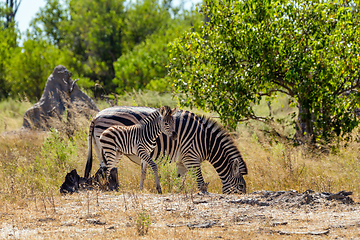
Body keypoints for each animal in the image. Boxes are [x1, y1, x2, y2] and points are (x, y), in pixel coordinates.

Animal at [84, 106, 248, 194]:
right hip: (111, 150)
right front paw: (202, 193)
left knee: (102, 171)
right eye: (241, 186)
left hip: (103, 150)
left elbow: (179, 181)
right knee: (105, 171)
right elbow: (200, 182)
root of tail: (96, 116)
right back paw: (108, 189)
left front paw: (178, 192)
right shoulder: (191, 158)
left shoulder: (182, 162)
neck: (205, 141)